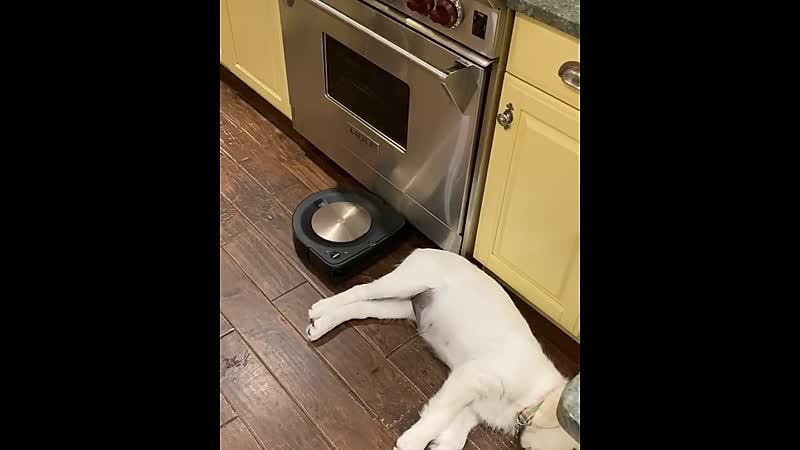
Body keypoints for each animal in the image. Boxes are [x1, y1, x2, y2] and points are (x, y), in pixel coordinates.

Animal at [306, 248, 578, 450]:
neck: (536, 397)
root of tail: (428, 249)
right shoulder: (471, 377)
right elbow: (440, 414)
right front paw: (412, 442)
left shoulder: (474, 405)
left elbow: (456, 433)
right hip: (405, 283)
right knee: (360, 291)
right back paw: (320, 308)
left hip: (402, 306)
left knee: (362, 307)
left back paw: (320, 325)